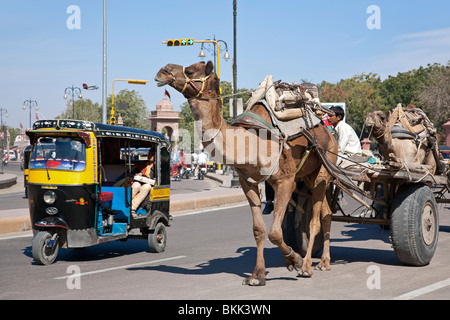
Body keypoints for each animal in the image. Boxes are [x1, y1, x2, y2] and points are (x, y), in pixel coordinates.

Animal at [155, 62, 338, 284]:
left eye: (190, 71)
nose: (163, 71)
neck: (249, 141)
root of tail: (329, 131)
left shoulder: (286, 181)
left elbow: (275, 232)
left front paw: (293, 260)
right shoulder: (248, 182)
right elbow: (259, 230)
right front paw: (257, 276)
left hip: (324, 169)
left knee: (314, 221)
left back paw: (307, 267)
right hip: (308, 178)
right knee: (326, 213)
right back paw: (324, 262)